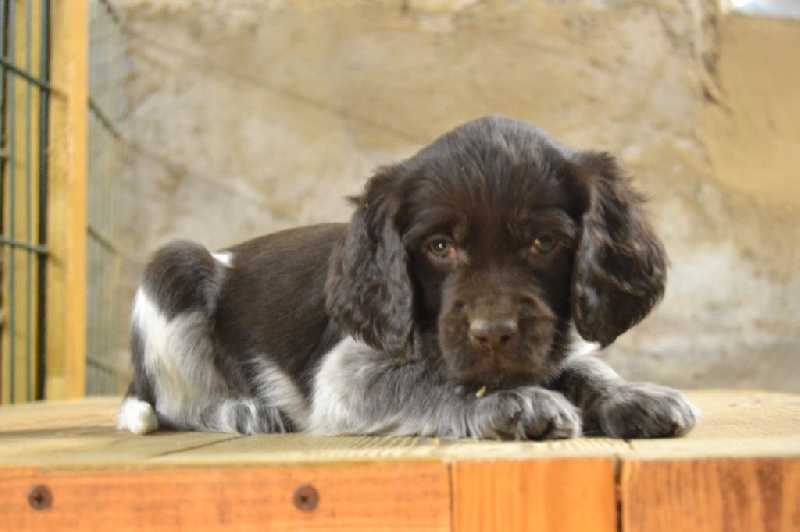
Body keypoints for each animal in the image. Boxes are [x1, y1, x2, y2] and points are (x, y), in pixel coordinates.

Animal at [117, 116, 699, 440]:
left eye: (544, 243)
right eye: (440, 247)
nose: (493, 333)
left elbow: (587, 368)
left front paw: (633, 397)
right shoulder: (344, 377)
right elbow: (429, 378)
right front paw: (512, 401)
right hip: (176, 269)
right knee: (170, 405)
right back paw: (244, 409)